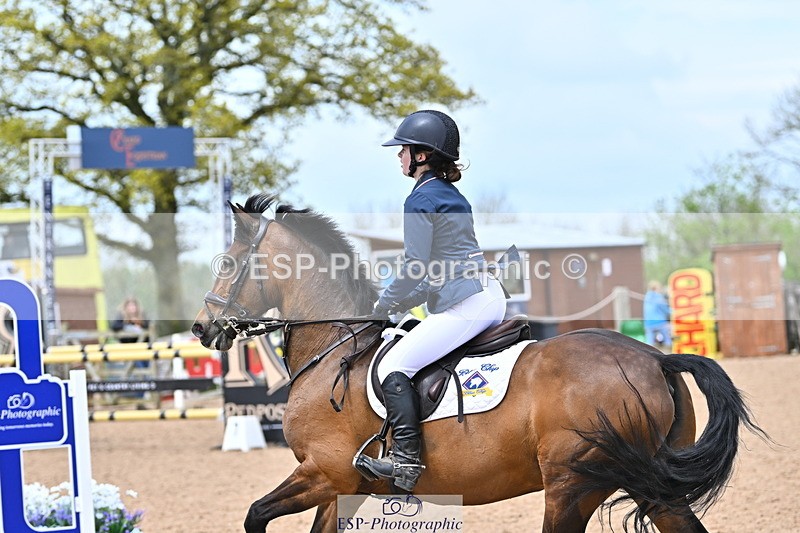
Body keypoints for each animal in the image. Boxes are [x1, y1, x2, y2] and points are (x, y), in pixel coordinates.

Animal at [191, 193, 765, 533]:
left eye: (228, 264)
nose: (201, 328)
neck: (334, 349)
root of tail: (656, 359)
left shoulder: (323, 473)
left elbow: (255, 515)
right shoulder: (336, 489)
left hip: (572, 485)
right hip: (645, 485)